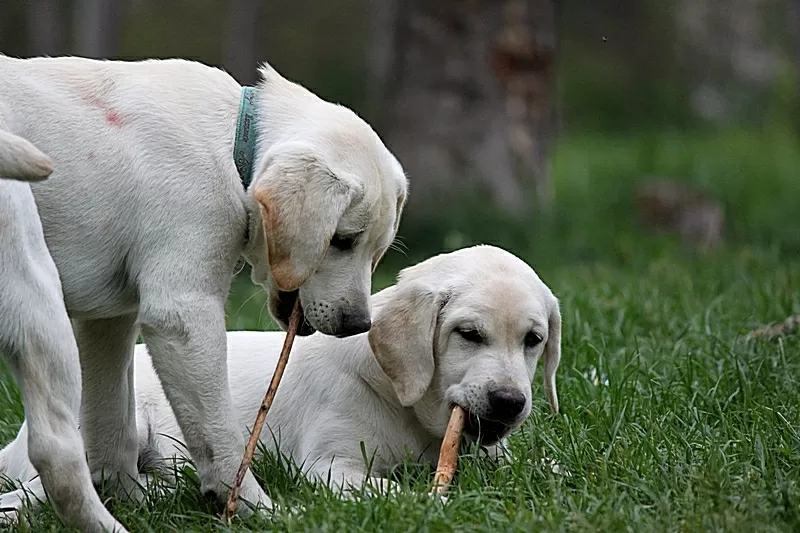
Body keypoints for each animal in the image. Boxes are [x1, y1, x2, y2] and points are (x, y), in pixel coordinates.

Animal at [0, 54, 406, 528]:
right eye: (342, 241)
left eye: (377, 252)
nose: (359, 324)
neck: (230, 148)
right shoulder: (183, 314)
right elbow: (222, 437)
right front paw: (254, 508)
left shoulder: (109, 321)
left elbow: (112, 429)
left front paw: (134, 500)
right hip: (35, 290)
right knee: (55, 453)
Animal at [0, 245, 564, 520]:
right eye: (468, 334)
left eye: (533, 340)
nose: (510, 402)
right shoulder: (329, 467)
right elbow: (391, 489)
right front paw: (426, 499)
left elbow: (539, 466)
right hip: (126, 424)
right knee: (36, 489)